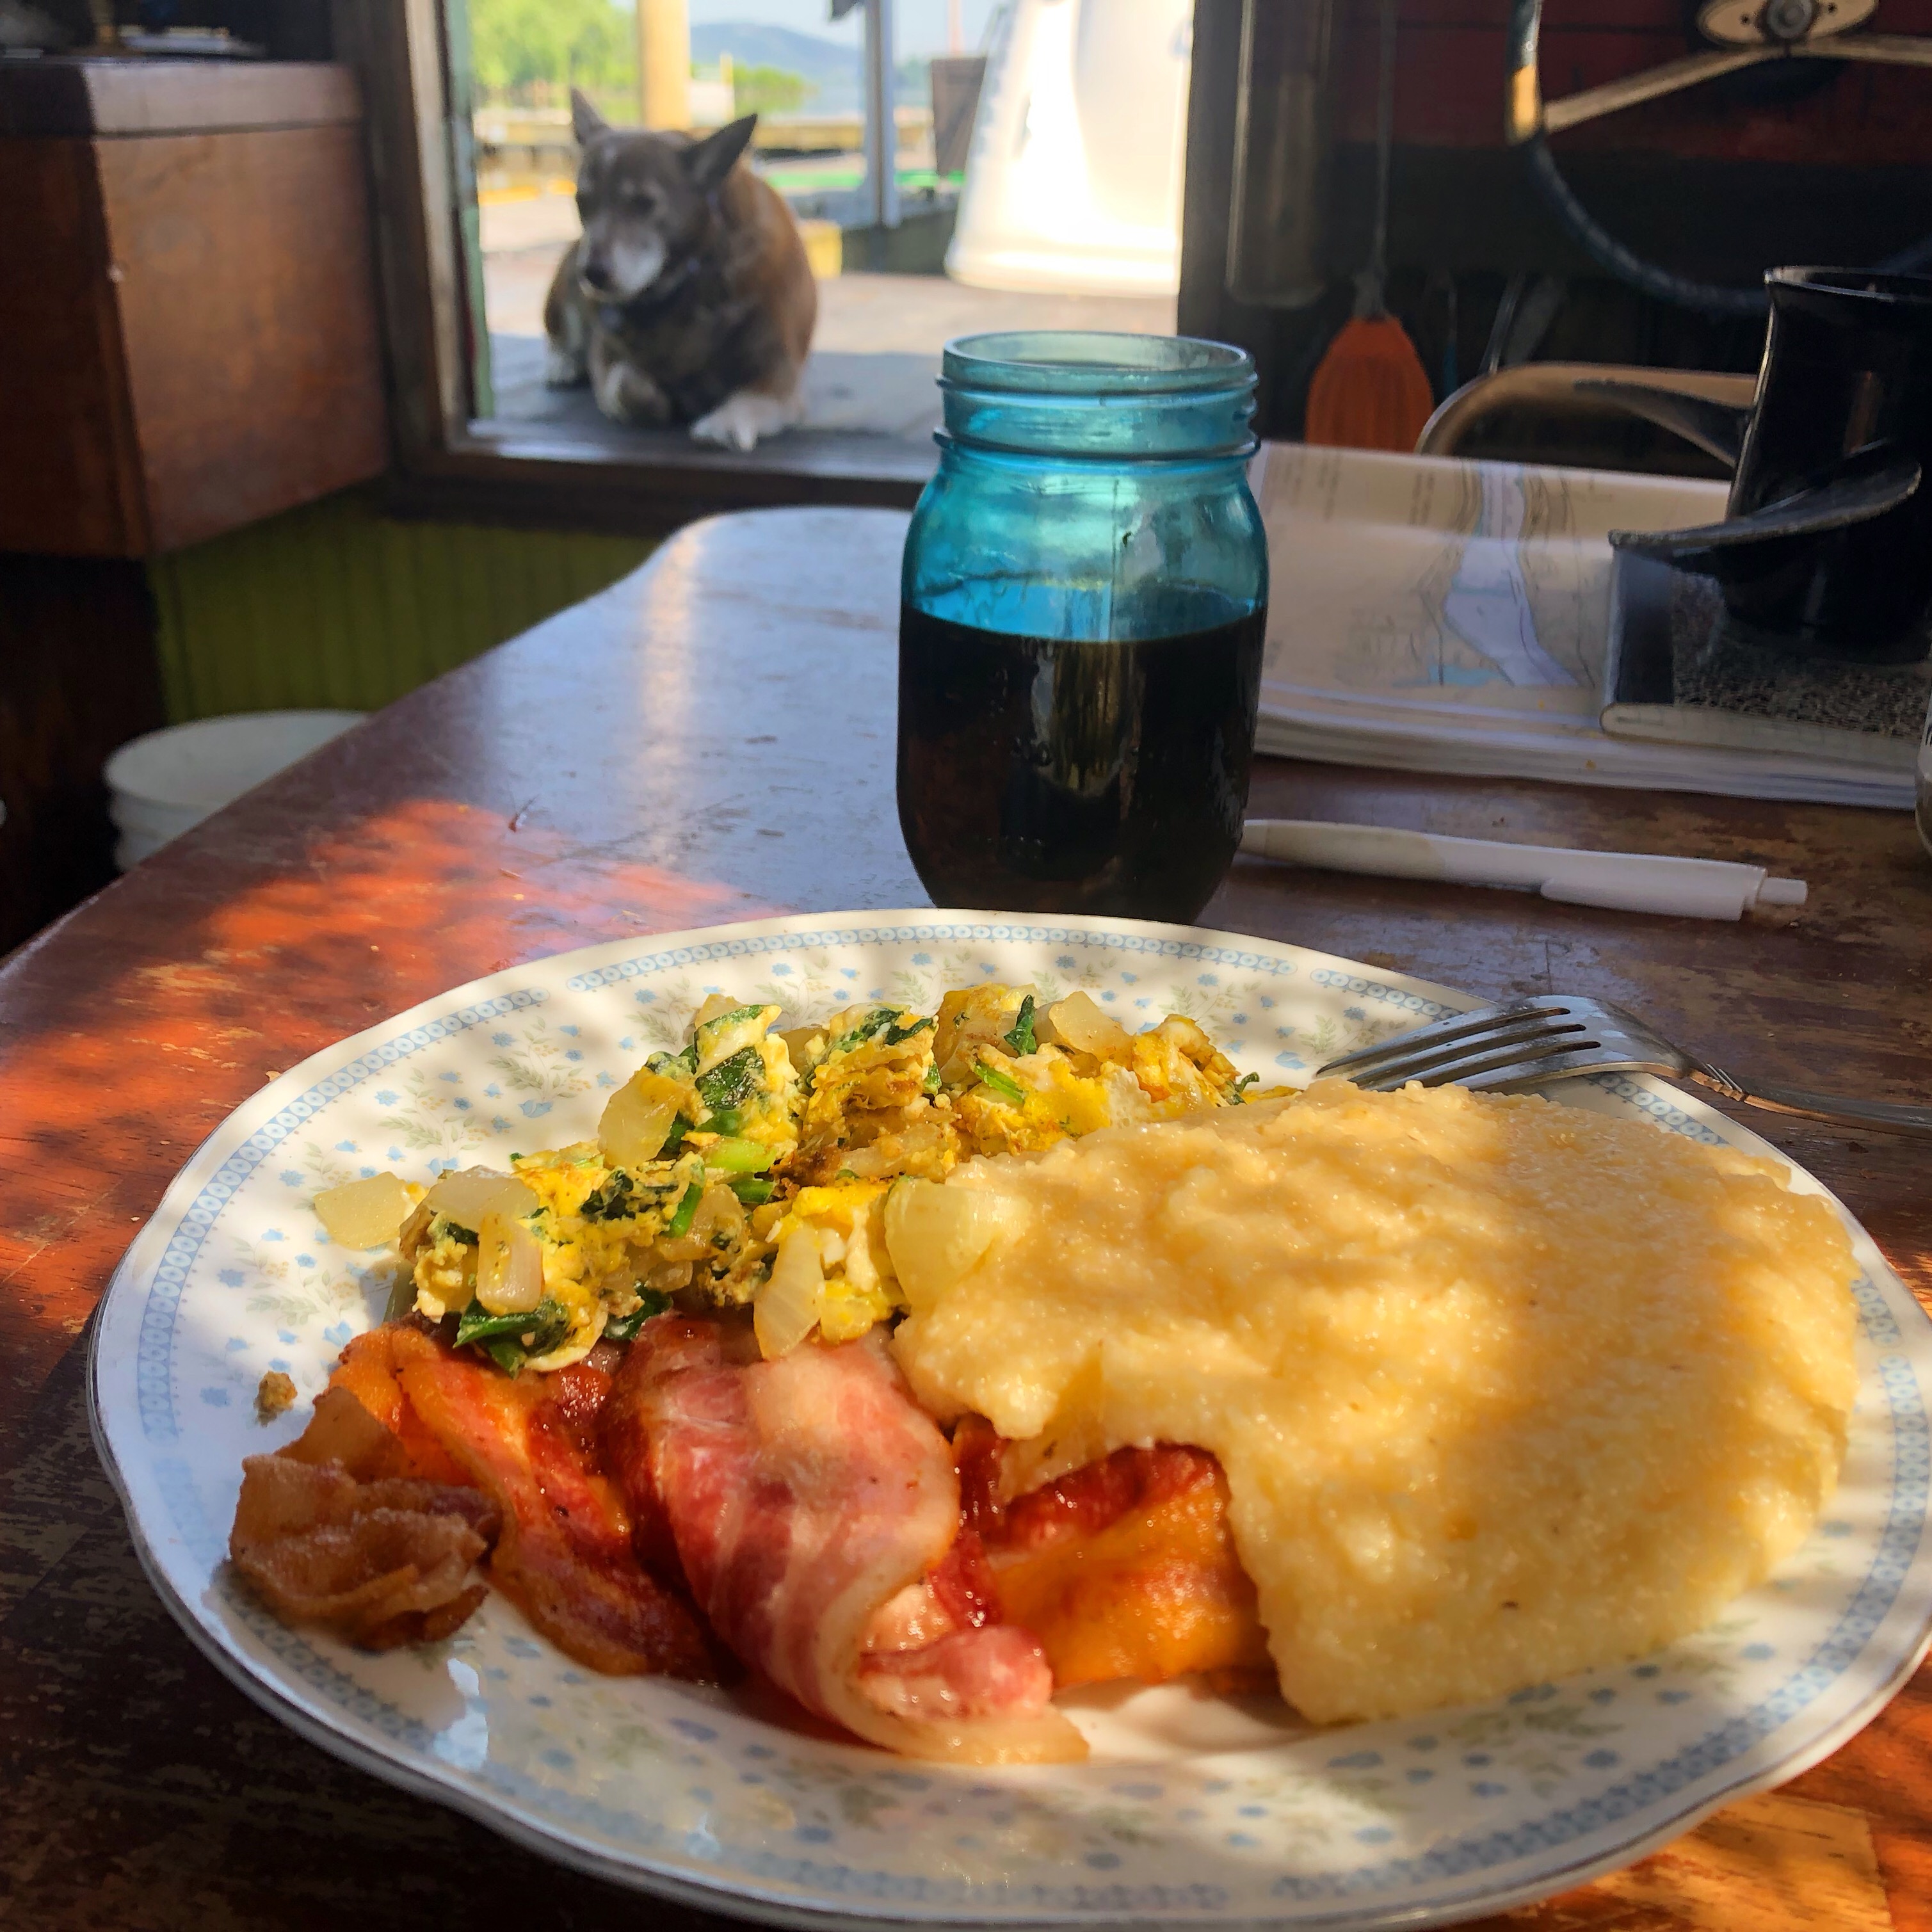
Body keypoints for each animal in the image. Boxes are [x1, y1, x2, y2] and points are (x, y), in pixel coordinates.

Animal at [545, 94, 815, 452]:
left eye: (644, 203)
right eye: (581, 202)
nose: (592, 274)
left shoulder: (778, 374)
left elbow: (750, 399)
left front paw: (724, 424)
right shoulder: (605, 362)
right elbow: (627, 384)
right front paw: (659, 399)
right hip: (562, 294)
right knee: (561, 335)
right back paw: (562, 363)